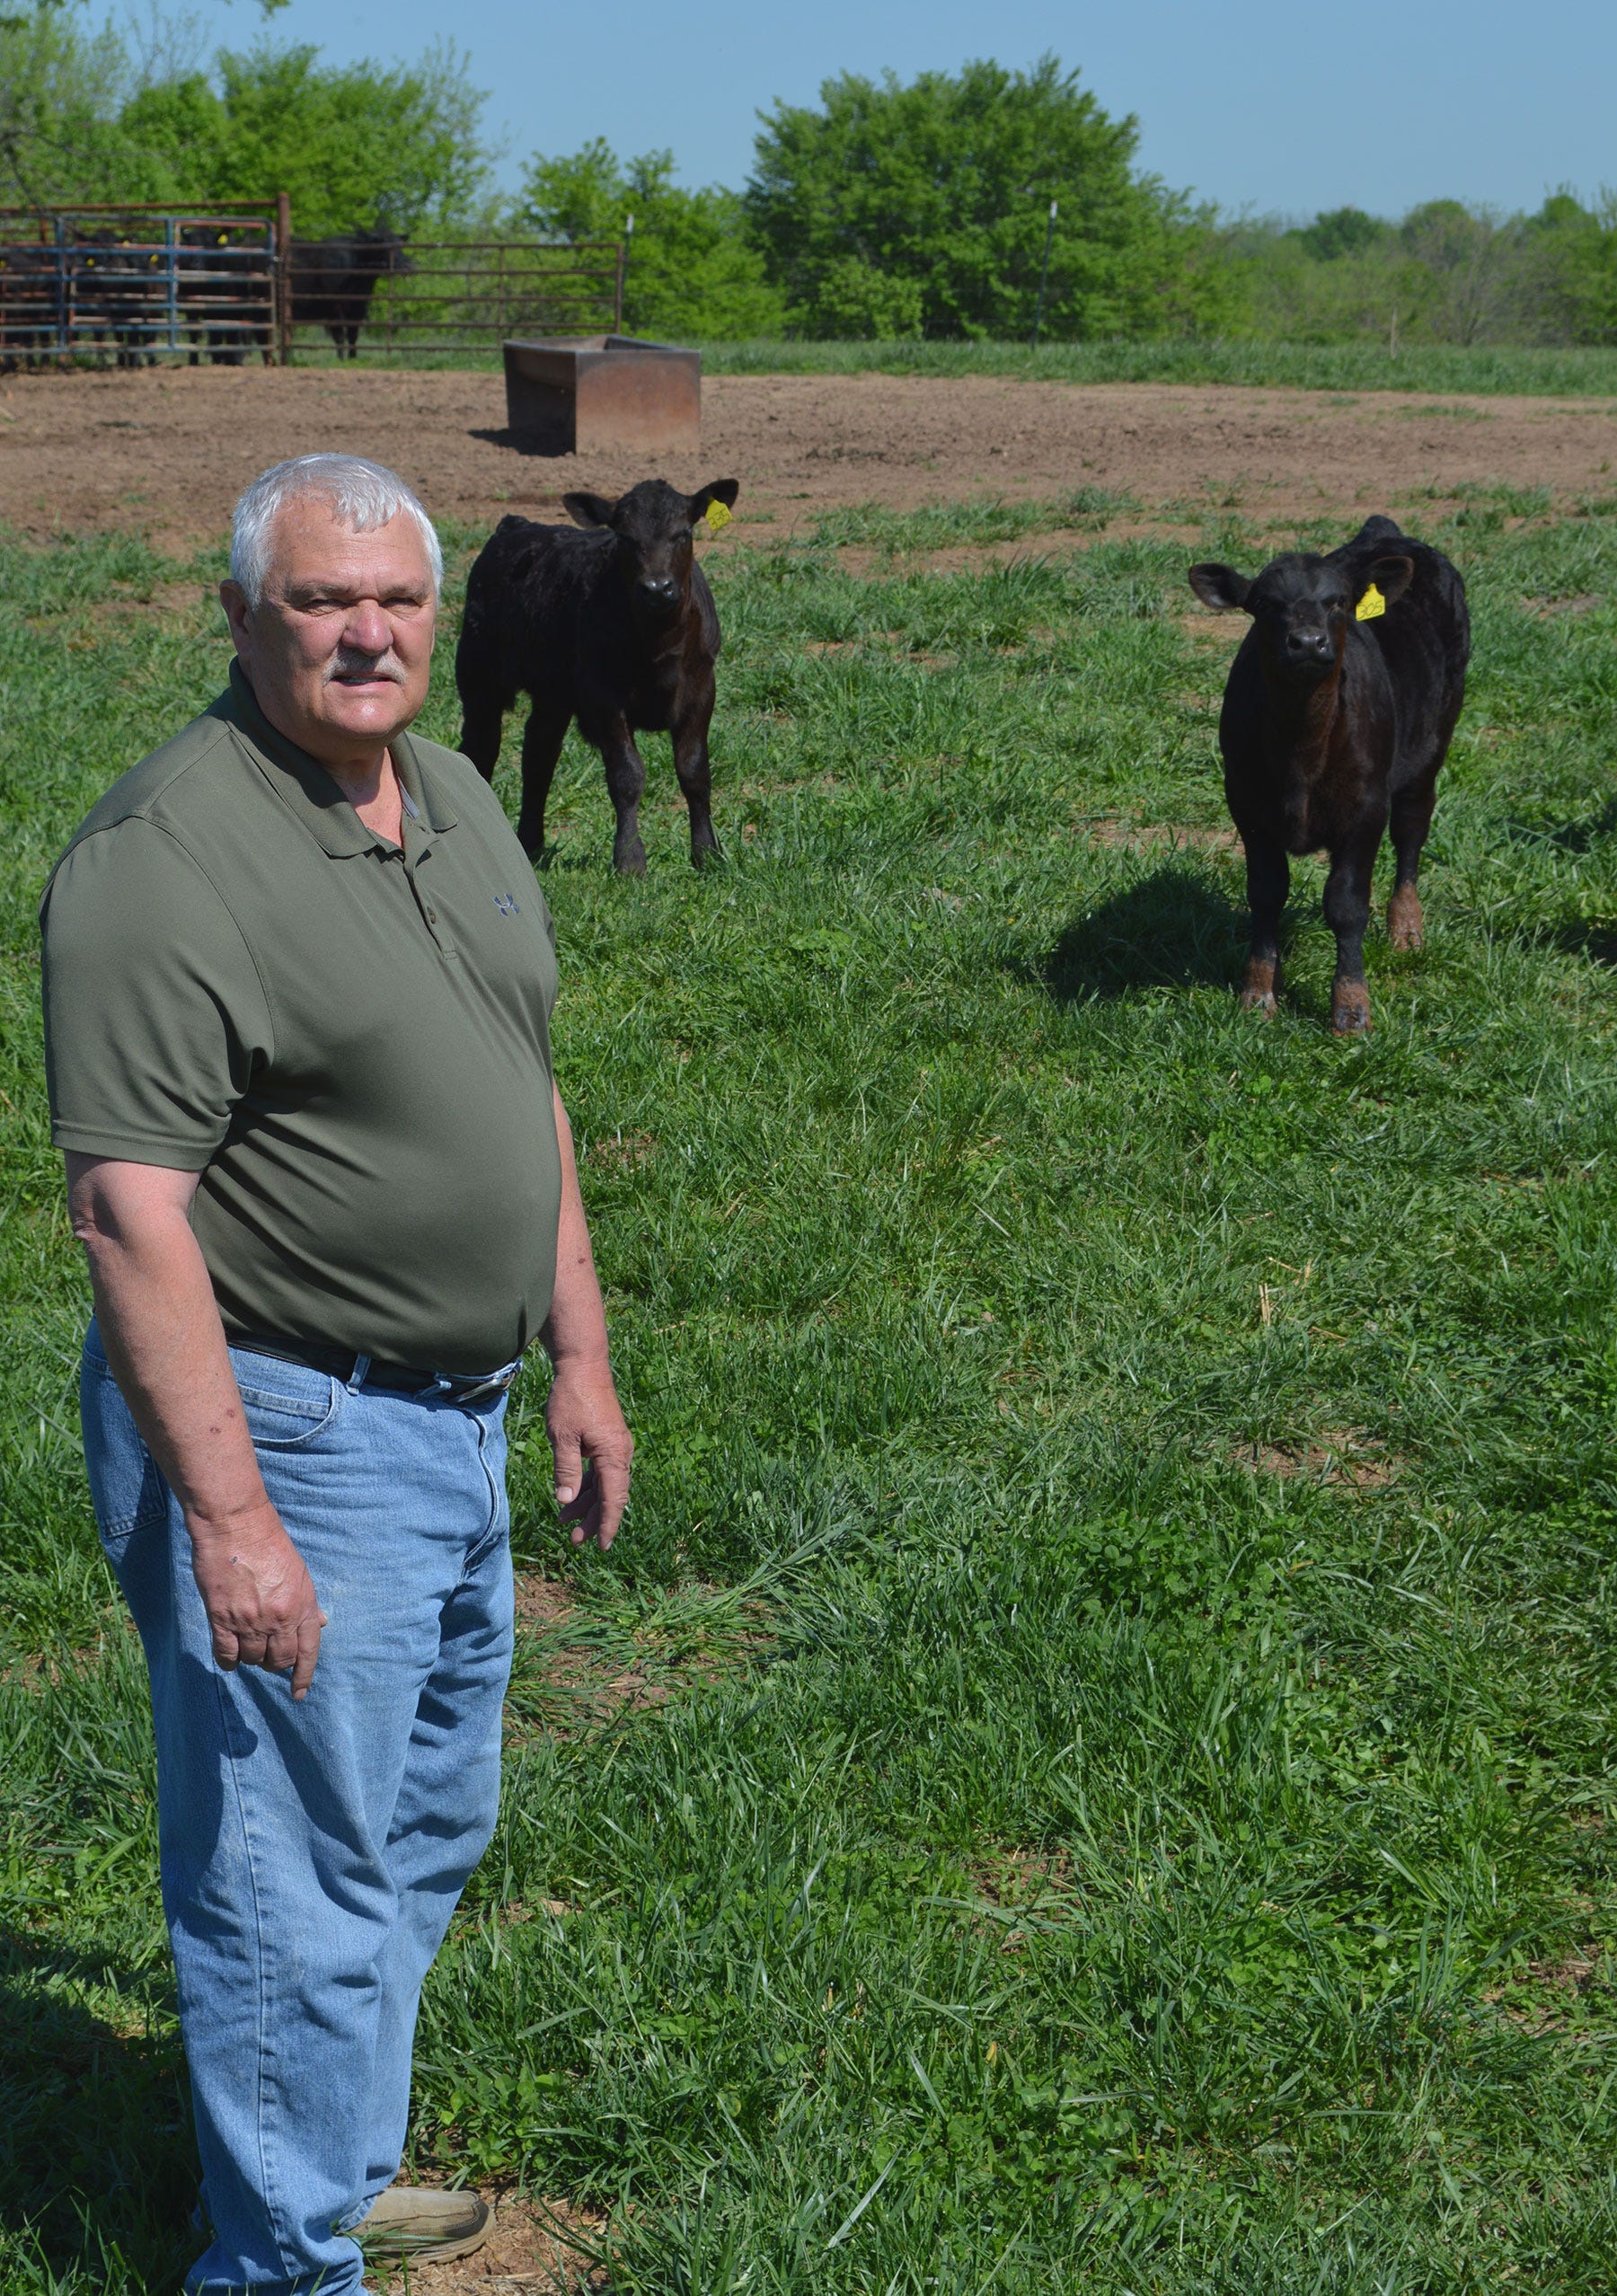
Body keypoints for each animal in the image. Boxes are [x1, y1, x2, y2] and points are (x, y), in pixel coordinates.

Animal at [456, 480, 744, 872]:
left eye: (684, 533)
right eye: (624, 536)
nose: (657, 588)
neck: (658, 646)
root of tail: (515, 524)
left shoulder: (701, 689)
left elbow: (694, 772)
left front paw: (707, 854)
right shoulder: (604, 696)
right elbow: (627, 776)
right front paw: (630, 859)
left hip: (553, 692)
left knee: (539, 754)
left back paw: (531, 842)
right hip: (478, 674)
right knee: (480, 749)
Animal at [1185, 521, 1470, 1033]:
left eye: (1338, 600)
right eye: (1264, 603)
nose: (1308, 642)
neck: (1302, 751)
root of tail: (1386, 533)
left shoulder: (1365, 810)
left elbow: (1347, 906)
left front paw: (1351, 1008)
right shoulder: (1247, 807)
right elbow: (1266, 894)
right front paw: (1259, 992)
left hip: (1432, 745)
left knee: (1412, 832)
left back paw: (1406, 929)